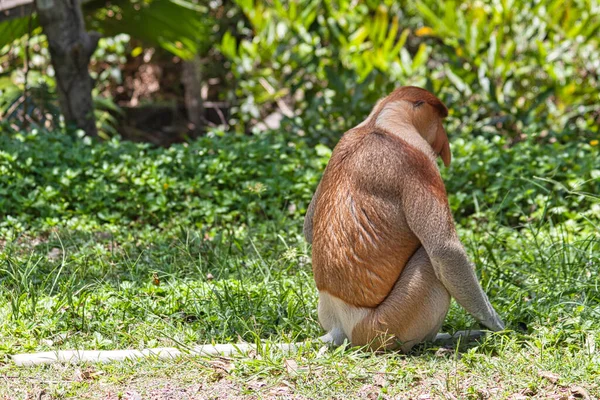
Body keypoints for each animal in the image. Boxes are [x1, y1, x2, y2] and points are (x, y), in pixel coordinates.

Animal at [302, 86, 504, 352]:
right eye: (440, 120)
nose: (444, 143)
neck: (379, 122)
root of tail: (340, 326)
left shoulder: (341, 142)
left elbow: (308, 228)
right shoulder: (419, 162)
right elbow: (445, 250)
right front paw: (500, 326)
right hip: (388, 325)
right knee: (428, 260)